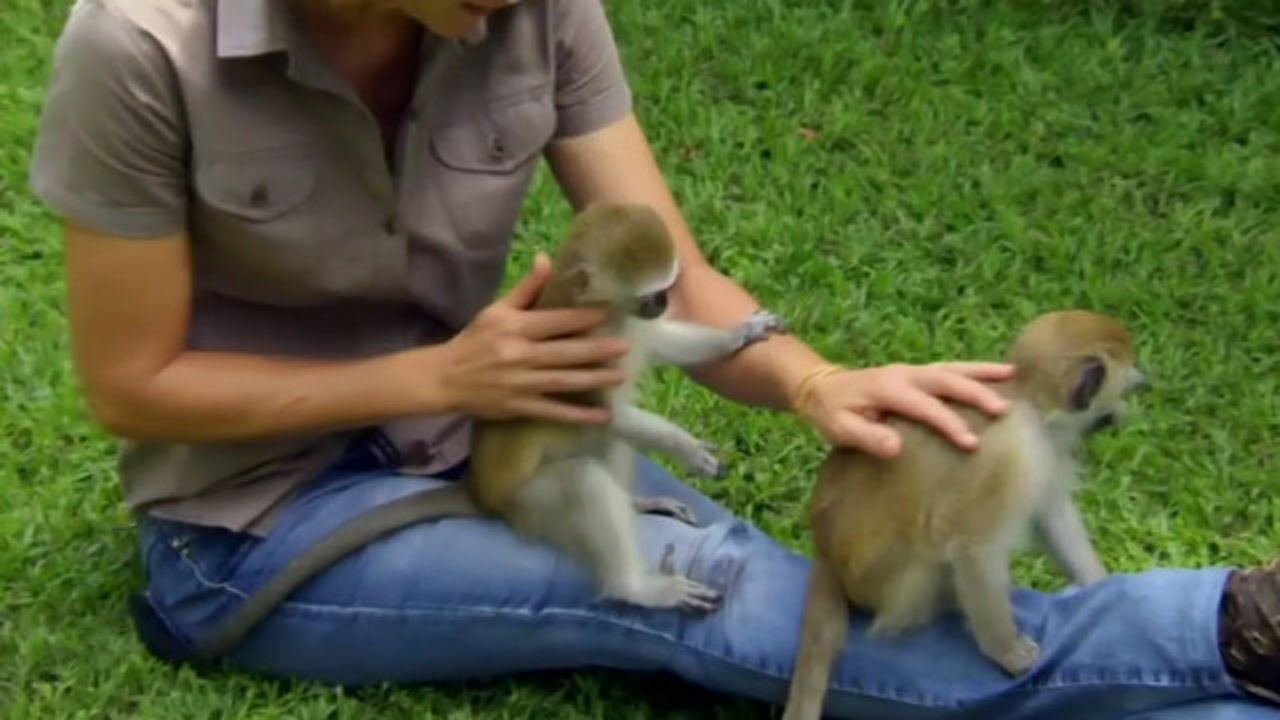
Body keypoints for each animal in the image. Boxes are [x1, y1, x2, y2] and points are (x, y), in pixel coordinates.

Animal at [189, 202, 783, 661]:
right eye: (651, 292)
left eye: (667, 290)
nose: (664, 302)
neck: (600, 314)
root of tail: (481, 492)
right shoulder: (585, 348)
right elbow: (605, 412)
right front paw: (688, 449)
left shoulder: (626, 333)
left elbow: (662, 348)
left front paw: (740, 333)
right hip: (530, 504)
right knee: (582, 479)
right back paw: (633, 587)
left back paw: (638, 505)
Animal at [778, 308, 1152, 717]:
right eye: (1124, 386)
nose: (1140, 389)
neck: (1024, 402)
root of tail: (827, 551)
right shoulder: (1009, 453)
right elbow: (974, 549)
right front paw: (1006, 653)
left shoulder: (1044, 448)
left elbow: (1051, 515)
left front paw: (1099, 584)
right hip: (890, 581)